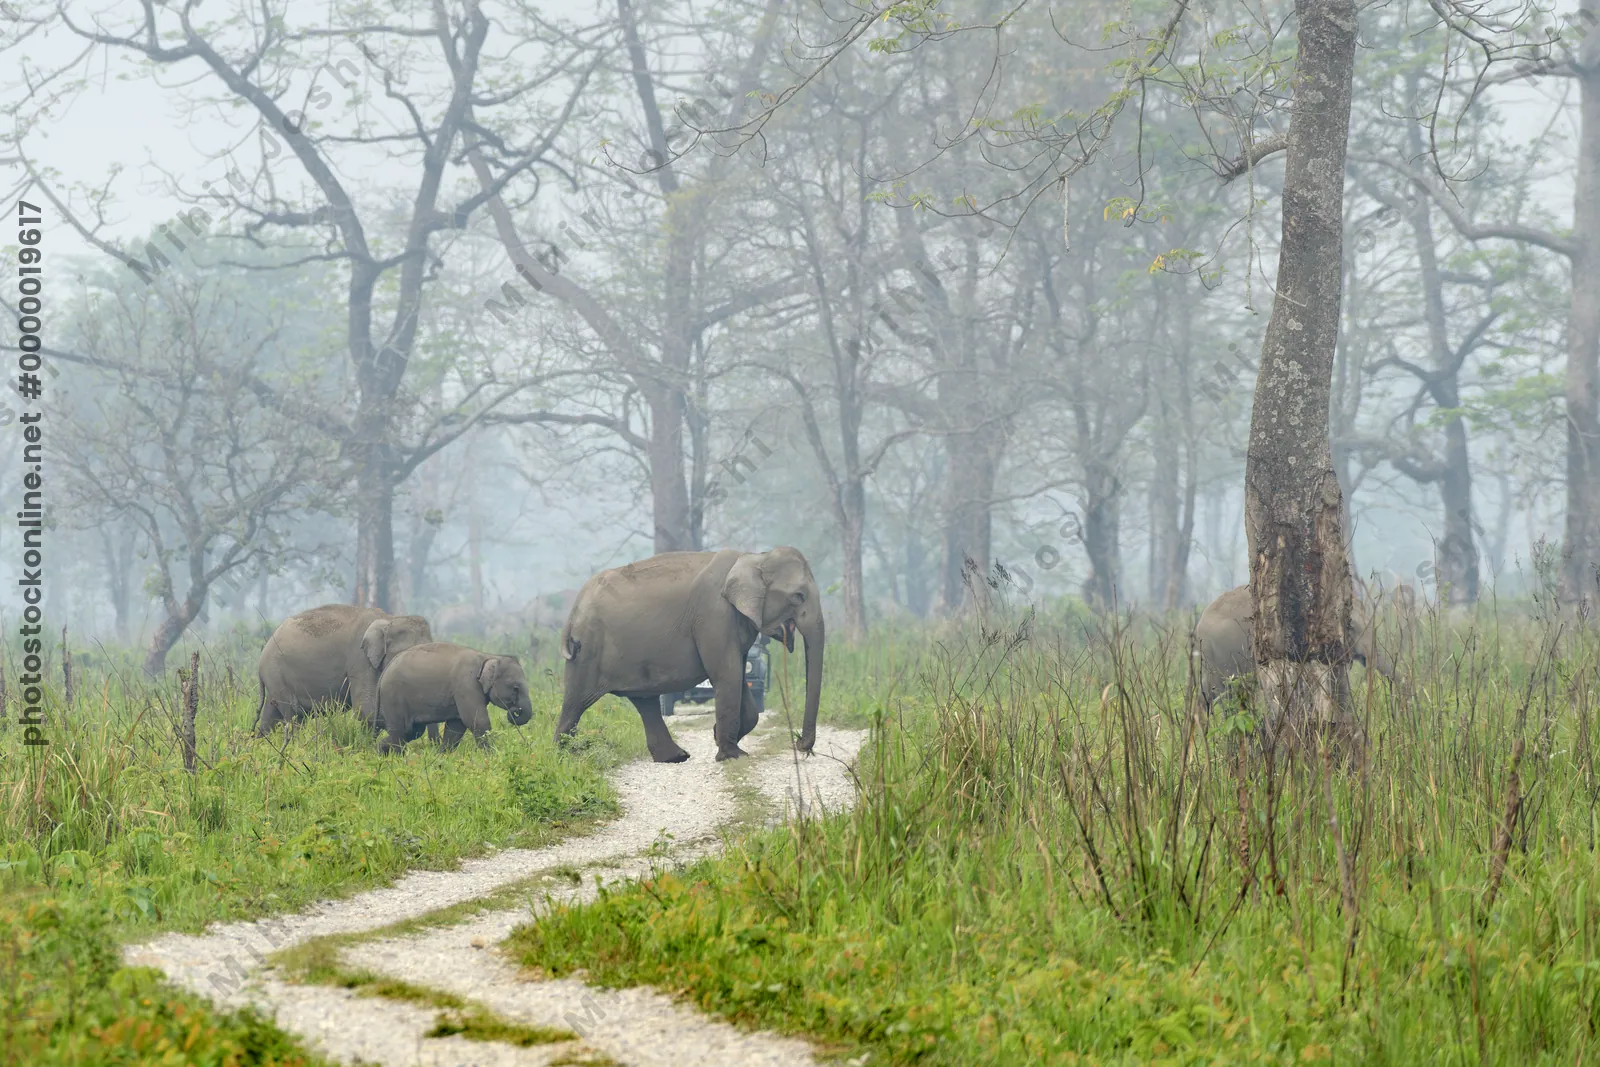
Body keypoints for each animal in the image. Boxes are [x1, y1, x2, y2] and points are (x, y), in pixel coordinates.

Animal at [254, 605, 434, 736]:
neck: (389, 619)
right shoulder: (359, 659)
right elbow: (365, 709)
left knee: (272, 716)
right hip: (276, 672)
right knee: (293, 714)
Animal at [374, 642, 534, 753]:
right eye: (516, 688)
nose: (514, 711)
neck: (488, 656)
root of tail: (383, 675)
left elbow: (456, 726)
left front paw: (442, 757)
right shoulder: (466, 685)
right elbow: (477, 721)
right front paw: (492, 756)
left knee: (411, 732)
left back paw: (380, 751)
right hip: (393, 698)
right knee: (400, 731)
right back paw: (398, 759)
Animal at [556, 547, 825, 763]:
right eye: (798, 596)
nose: (800, 744)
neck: (754, 557)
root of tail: (572, 613)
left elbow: (739, 677)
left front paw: (720, 737)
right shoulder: (714, 616)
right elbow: (727, 675)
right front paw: (732, 756)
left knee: (645, 701)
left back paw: (675, 757)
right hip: (587, 652)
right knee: (575, 702)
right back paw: (567, 756)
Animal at [1193, 584, 1401, 709]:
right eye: (1352, 626)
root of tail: (1200, 626)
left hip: (1212, 657)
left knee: (1207, 693)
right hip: (1225, 653)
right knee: (1225, 694)